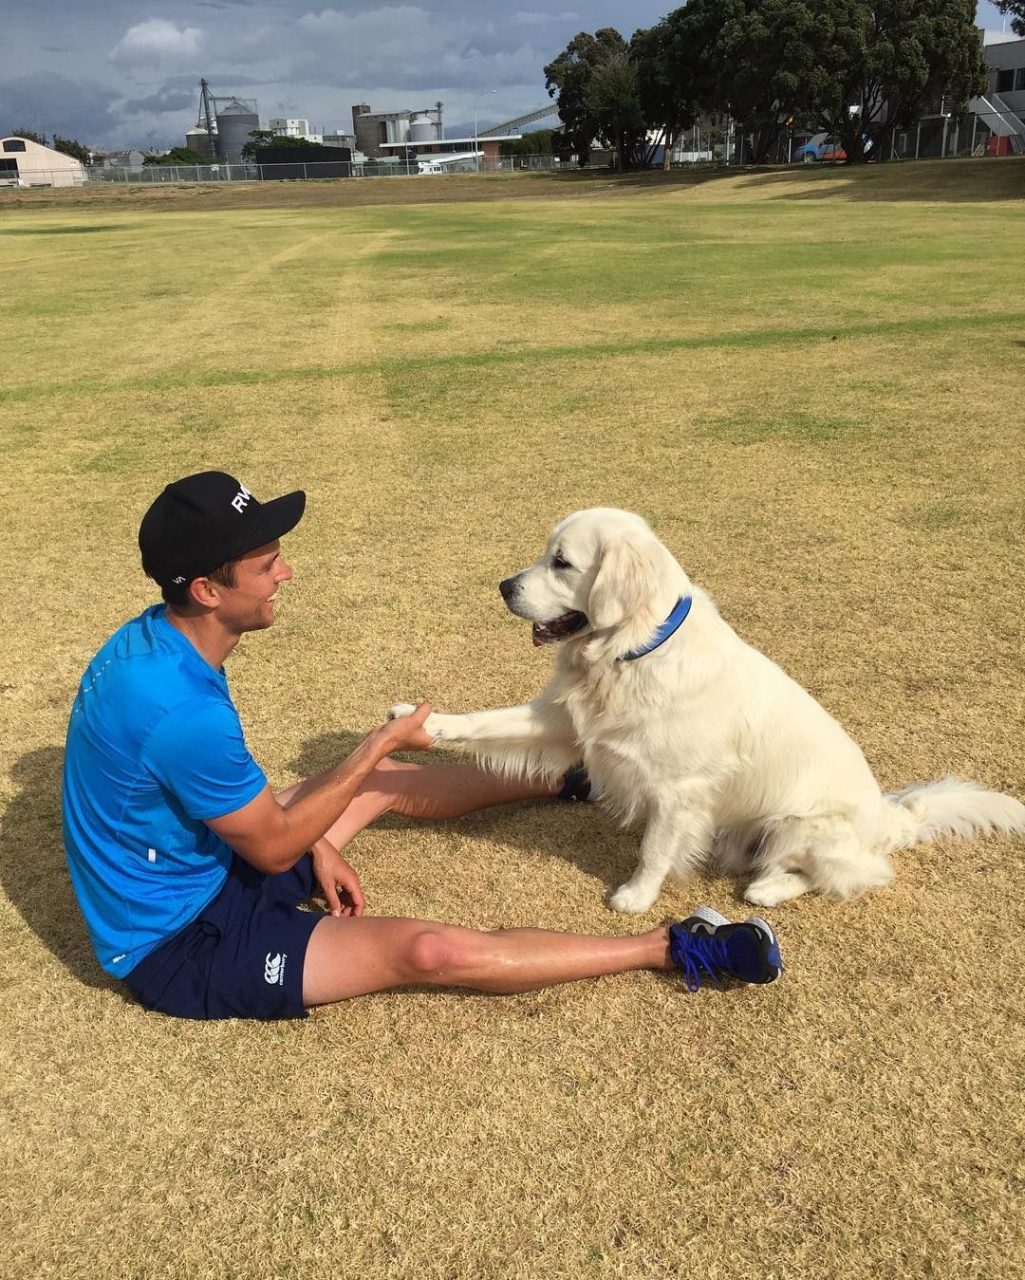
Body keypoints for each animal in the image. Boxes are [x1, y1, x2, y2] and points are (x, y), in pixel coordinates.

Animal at [389, 509, 1018, 911]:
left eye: (562, 563)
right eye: (546, 555)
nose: (503, 586)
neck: (631, 651)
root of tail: (891, 817)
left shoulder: (679, 789)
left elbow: (655, 848)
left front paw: (636, 898)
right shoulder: (565, 722)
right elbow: (484, 721)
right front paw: (420, 719)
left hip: (798, 823)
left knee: (853, 875)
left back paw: (769, 888)